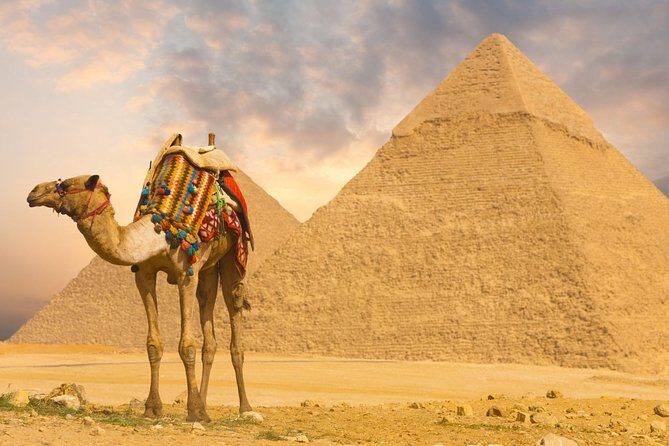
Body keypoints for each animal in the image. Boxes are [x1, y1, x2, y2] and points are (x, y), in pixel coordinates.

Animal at [26, 134, 252, 422]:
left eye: (65, 184)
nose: (33, 191)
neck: (160, 232)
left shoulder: (185, 275)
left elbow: (186, 345)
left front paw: (193, 411)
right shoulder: (144, 275)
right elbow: (153, 344)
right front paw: (153, 408)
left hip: (233, 257)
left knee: (234, 315)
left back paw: (244, 407)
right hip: (208, 270)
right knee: (209, 332)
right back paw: (205, 405)